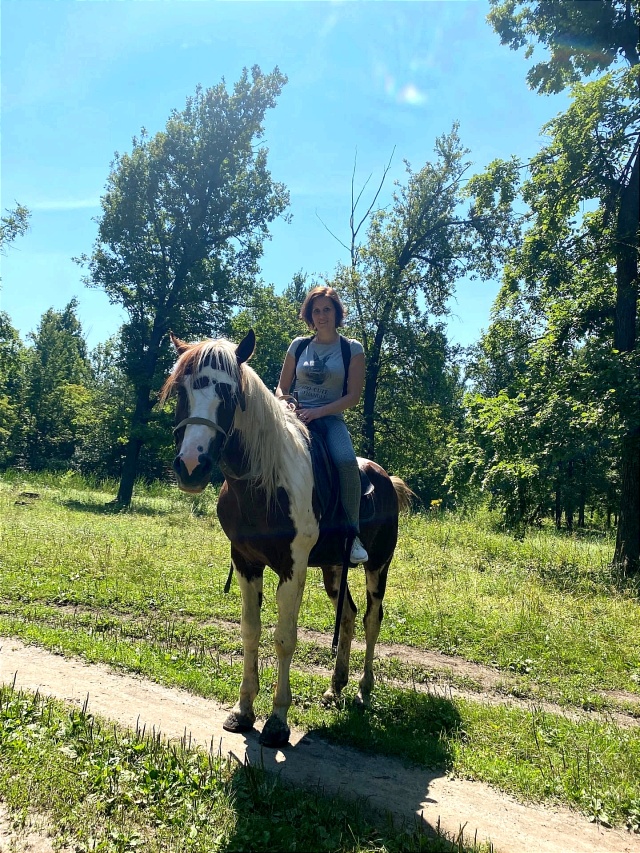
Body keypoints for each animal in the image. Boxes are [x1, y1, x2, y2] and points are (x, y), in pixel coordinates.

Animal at [158, 330, 412, 744]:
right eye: (181, 390)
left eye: (229, 394)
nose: (191, 465)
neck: (263, 481)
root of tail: (388, 480)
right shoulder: (246, 563)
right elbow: (250, 631)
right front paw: (242, 710)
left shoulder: (293, 568)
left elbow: (284, 638)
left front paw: (277, 721)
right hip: (334, 569)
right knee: (349, 616)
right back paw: (335, 688)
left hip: (378, 565)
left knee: (373, 618)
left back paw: (363, 690)